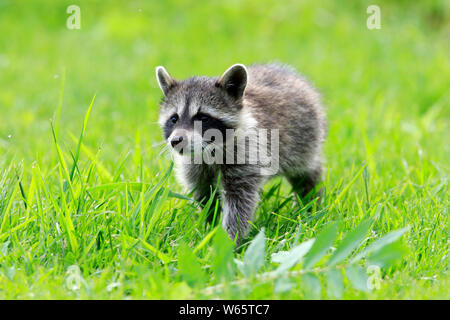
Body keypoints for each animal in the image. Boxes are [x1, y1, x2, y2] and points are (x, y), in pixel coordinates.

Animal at [156, 62, 326, 242]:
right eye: (174, 119)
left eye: (203, 118)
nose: (176, 141)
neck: (209, 150)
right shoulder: (195, 165)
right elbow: (205, 194)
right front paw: (209, 226)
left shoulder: (247, 154)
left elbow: (239, 203)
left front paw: (229, 240)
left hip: (305, 140)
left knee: (306, 174)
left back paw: (310, 202)